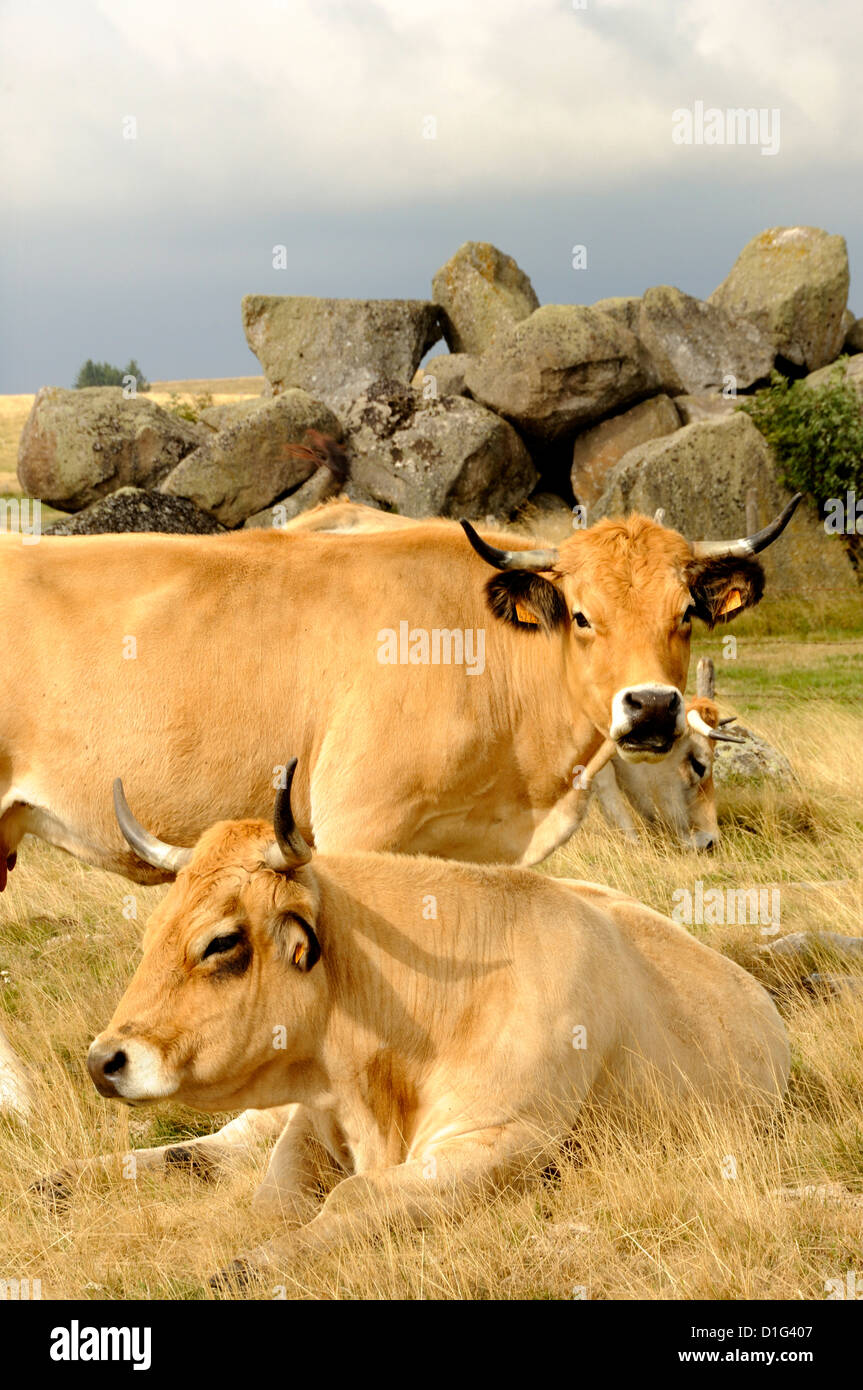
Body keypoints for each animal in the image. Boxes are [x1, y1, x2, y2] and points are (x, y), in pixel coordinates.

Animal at [80, 761, 789, 1278]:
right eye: (155, 930)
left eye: (222, 941)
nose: (103, 1060)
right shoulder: (311, 1120)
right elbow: (269, 1196)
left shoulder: (504, 1141)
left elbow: (351, 1196)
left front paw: (252, 1264)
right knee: (206, 1149)